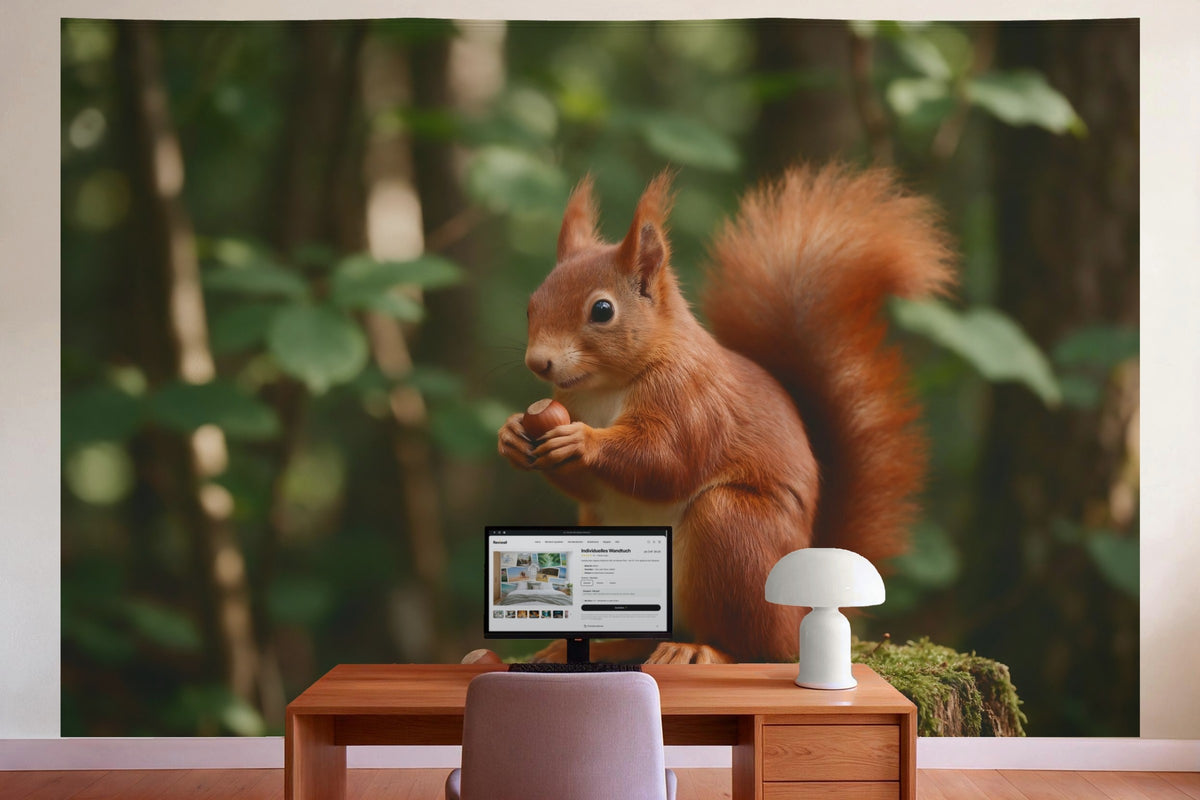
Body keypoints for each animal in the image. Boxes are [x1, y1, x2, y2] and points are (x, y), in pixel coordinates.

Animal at [494, 163, 955, 665]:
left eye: (602, 309)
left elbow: (667, 461)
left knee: (757, 647)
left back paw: (701, 650)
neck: (605, 388)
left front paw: (582, 441)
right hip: (604, 529)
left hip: (734, 534)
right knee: (647, 635)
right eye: (531, 305)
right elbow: (588, 484)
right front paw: (511, 434)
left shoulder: (691, 400)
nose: (538, 362)